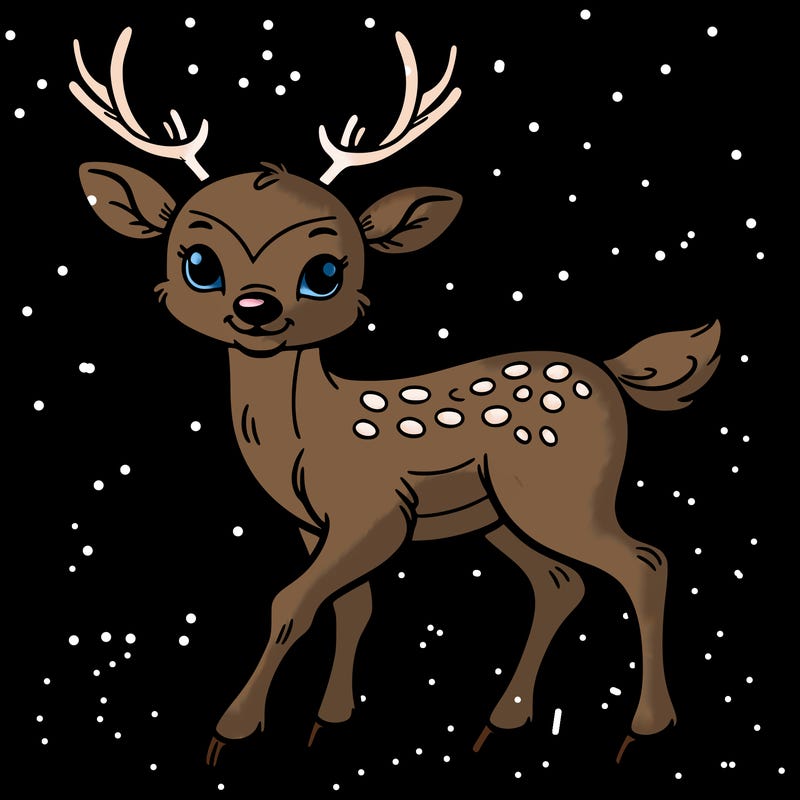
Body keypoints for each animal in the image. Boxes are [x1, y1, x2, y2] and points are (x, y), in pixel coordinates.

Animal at [69, 26, 720, 769]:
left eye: (324, 270)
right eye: (199, 263)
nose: (256, 309)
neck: (304, 434)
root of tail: (611, 374)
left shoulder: (375, 510)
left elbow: (290, 602)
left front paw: (230, 732)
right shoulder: (314, 523)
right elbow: (352, 605)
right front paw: (330, 721)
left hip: (561, 492)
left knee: (645, 561)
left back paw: (644, 730)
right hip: (501, 513)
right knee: (561, 582)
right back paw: (502, 722)